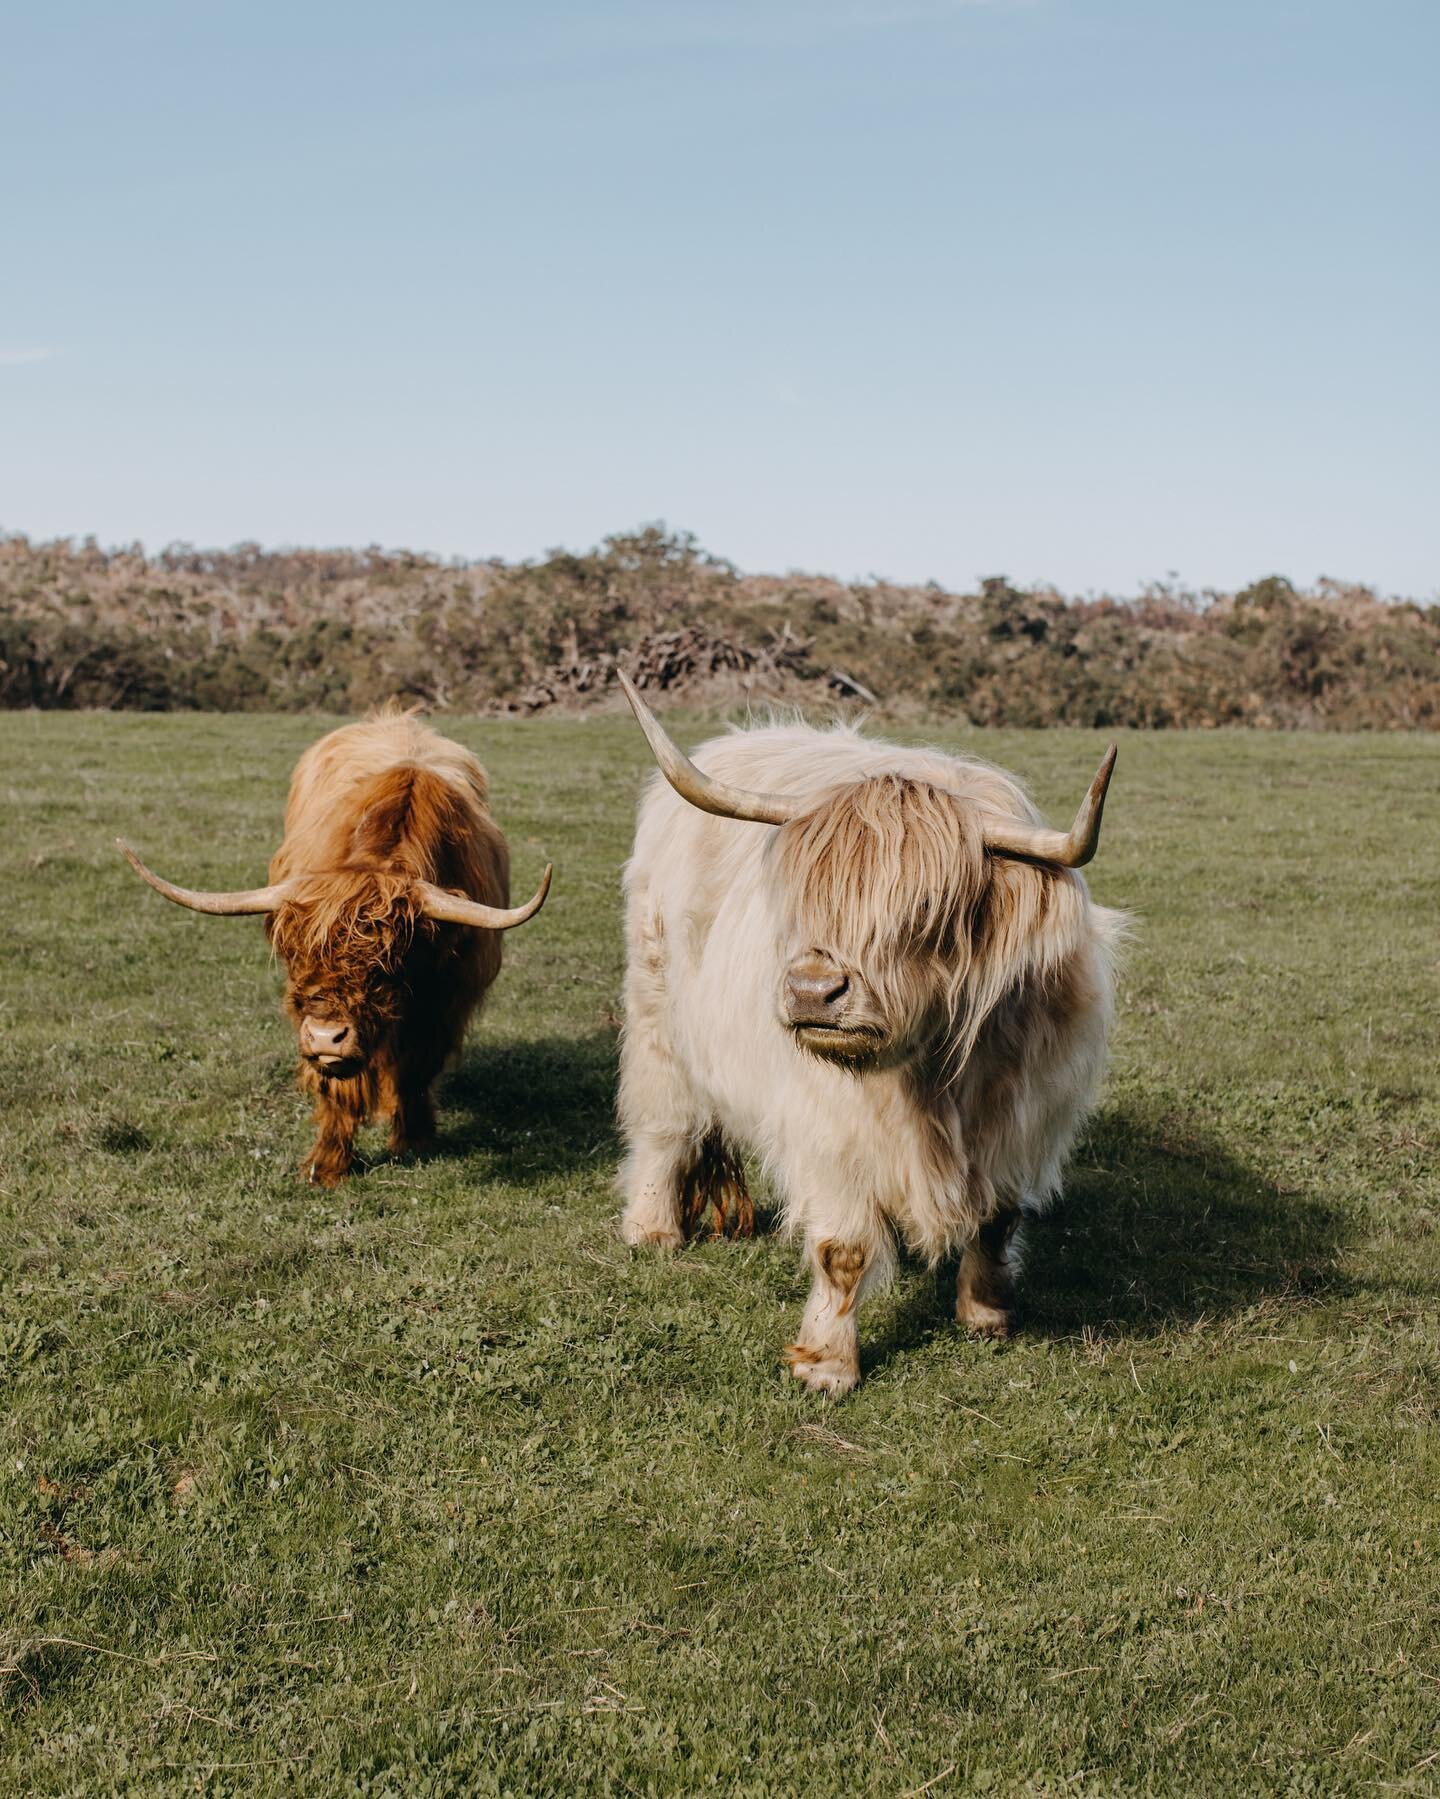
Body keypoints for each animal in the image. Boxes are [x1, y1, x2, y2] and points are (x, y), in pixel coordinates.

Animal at [115, 708, 547, 1187]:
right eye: (296, 954)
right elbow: (339, 1089)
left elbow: (417, 1068)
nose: (327, 1037)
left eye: (387, 965)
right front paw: (327, 1166)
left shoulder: (448, 1001)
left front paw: (413, 1139)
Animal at [612, 676, 1116, 1388]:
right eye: (804, 898)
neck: (935, 1074)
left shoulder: (1026, 1119)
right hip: (658, 1012)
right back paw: (651, 1228)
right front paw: (826, 1363)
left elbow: (997, 1217)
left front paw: (986, 1314)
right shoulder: (830, 1130)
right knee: (664, 1121)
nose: (811, 991)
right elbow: (843, 1249)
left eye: (924, 910)